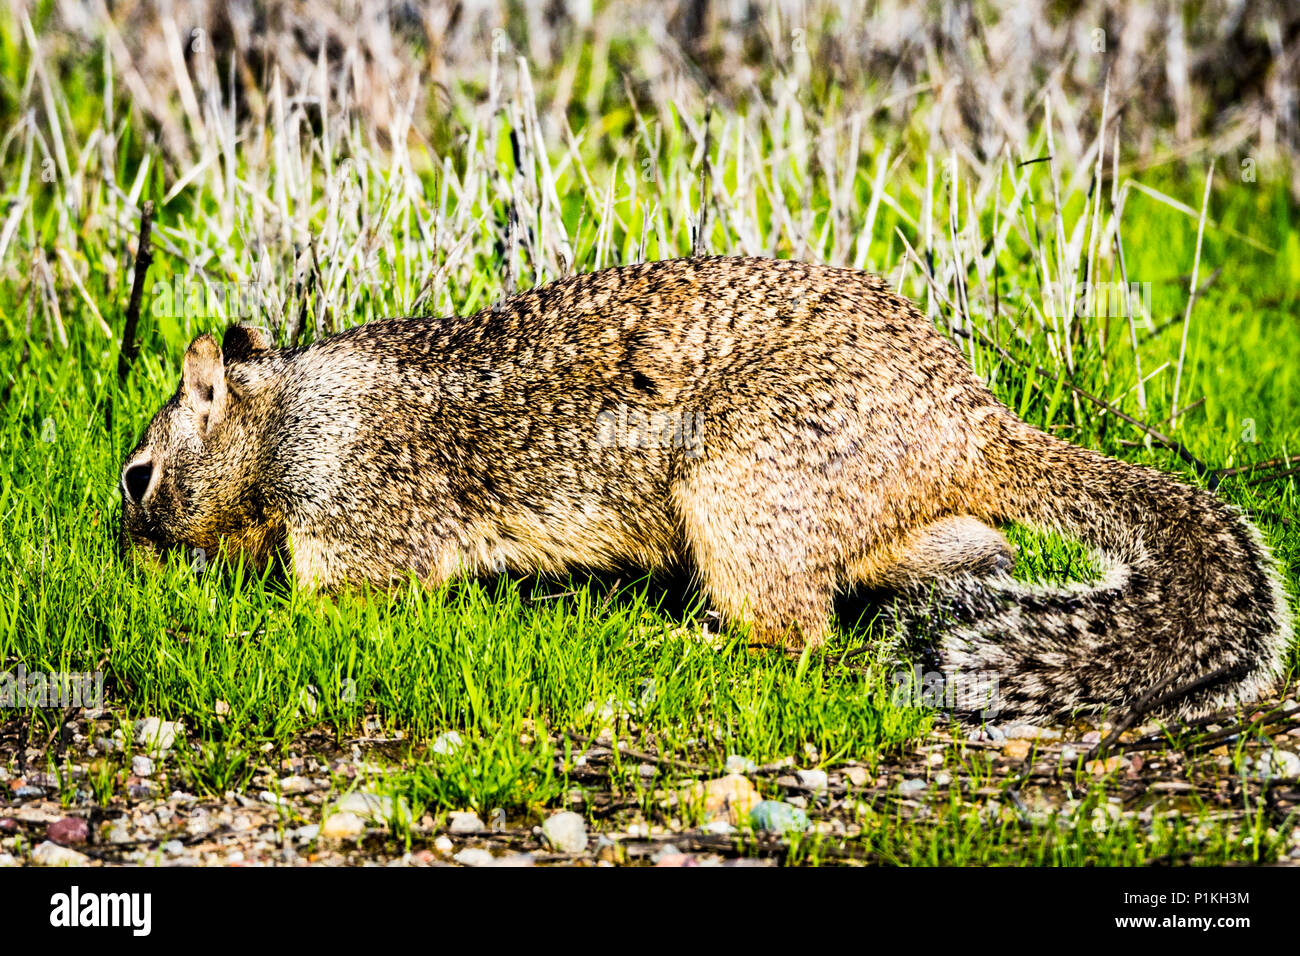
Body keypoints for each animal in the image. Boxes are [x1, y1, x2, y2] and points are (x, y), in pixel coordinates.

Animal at [119, 257, 1289, 723]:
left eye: (138, 476)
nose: (125, 549)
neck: (284, 421)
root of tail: (966, 419)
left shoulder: (356, 505)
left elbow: (342, 593)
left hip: (741, 486)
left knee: (792, 630)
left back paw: (679, 636)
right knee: (957, 553)